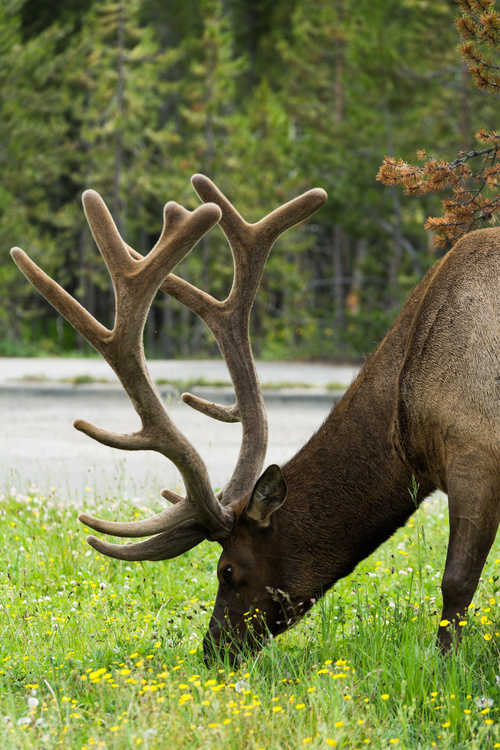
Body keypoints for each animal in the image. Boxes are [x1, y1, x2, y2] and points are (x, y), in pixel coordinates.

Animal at [11, 174, 500, 662]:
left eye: (226, 570)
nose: (213, 650)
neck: (403, 425)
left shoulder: (474, 448)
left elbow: (456, 583)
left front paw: (447, 665)